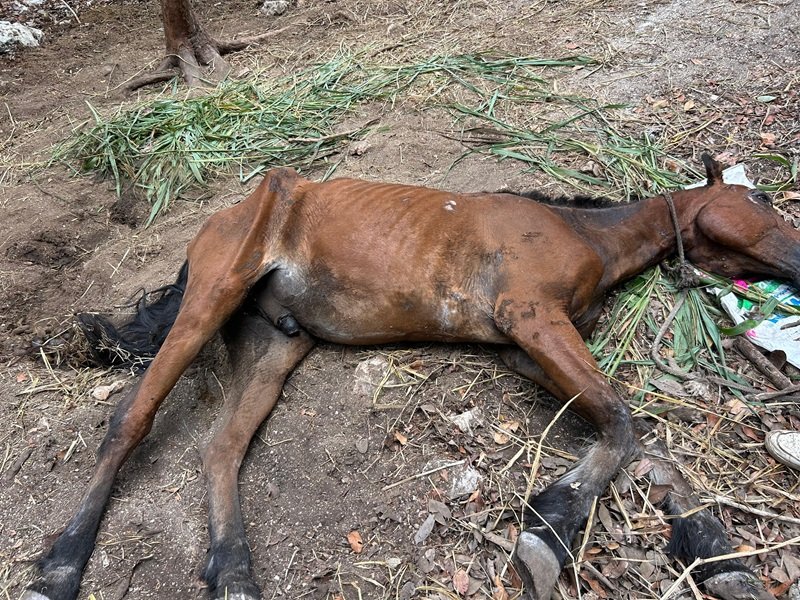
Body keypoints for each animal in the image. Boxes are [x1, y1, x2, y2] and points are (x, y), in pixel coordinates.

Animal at [25, 155, 793, 600]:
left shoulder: (527, 348)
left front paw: (719, 556)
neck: (585, 237)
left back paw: (235, 573)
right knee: (131, 418)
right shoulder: (530, 319)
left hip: (274, 343)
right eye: (761, 203)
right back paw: (60, 566)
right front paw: (549, 529)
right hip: (212, 296)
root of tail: (222, 218)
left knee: (221, 448)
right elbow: (623, 419)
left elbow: (634, 432)